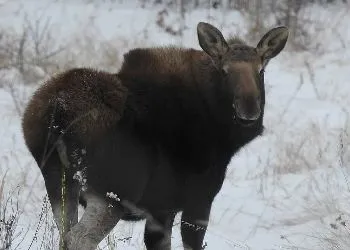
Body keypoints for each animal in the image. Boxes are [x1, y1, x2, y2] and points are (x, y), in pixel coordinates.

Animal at [21, 22, 288, 249]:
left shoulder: (161, 209)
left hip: (58, 181)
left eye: (261, 71)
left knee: (64, 233)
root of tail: (58, 113)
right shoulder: (198, 201)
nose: (249, 111)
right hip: (112, 194)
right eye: (224, 71)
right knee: (78, 239)